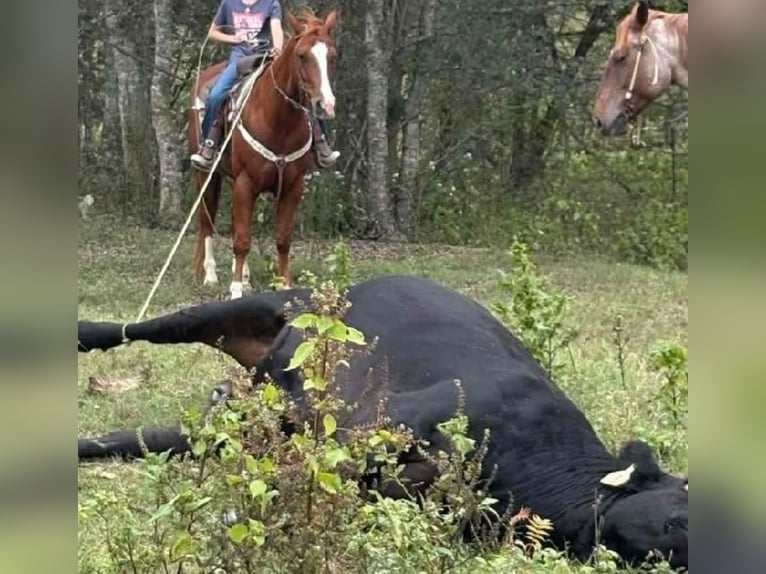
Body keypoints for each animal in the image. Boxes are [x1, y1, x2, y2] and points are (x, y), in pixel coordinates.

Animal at [188, 10, 338, 299]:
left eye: (332, 55)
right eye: (301, 55)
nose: (324, 105)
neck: (279, 120)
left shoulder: (293, 187)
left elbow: (282, 239)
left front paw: (283, 285)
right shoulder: (245, 182)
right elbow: (242, 240)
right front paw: (236, 291)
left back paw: (244, 276)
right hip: (206, 175)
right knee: (207, 220)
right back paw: (211, 274)